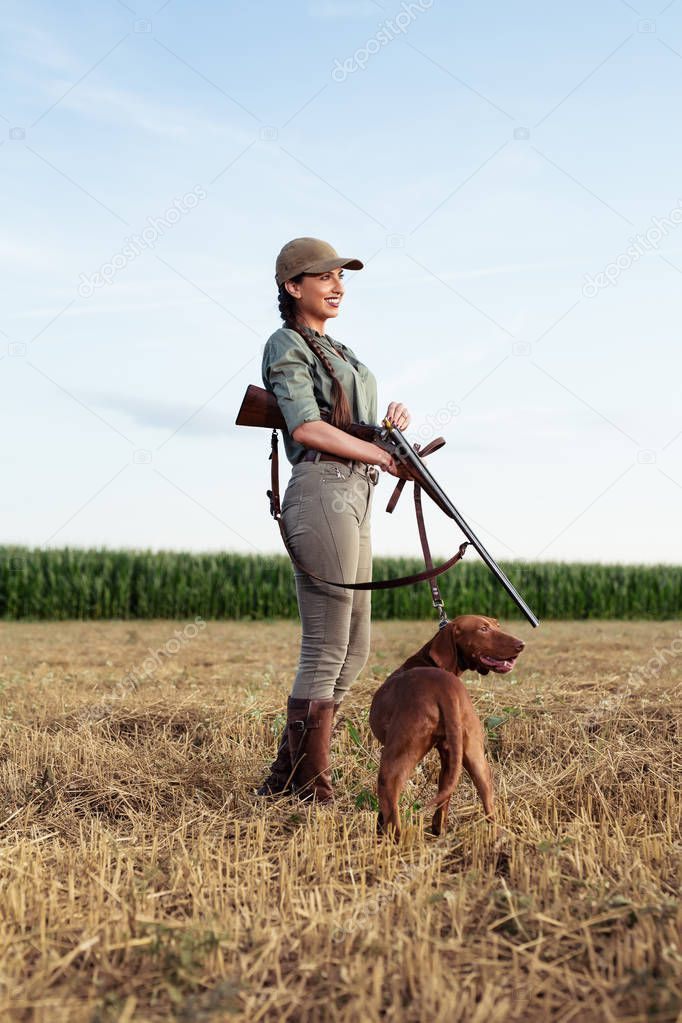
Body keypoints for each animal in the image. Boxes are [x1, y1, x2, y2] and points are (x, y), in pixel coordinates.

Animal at [370, 613, 527, 838]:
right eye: (484, 629)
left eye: (497, 625)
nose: (521, 644)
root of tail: (444, 690)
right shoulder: (448, 754)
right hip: (474, 754)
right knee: (484, 797)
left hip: (397, 757)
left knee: (390, 798)